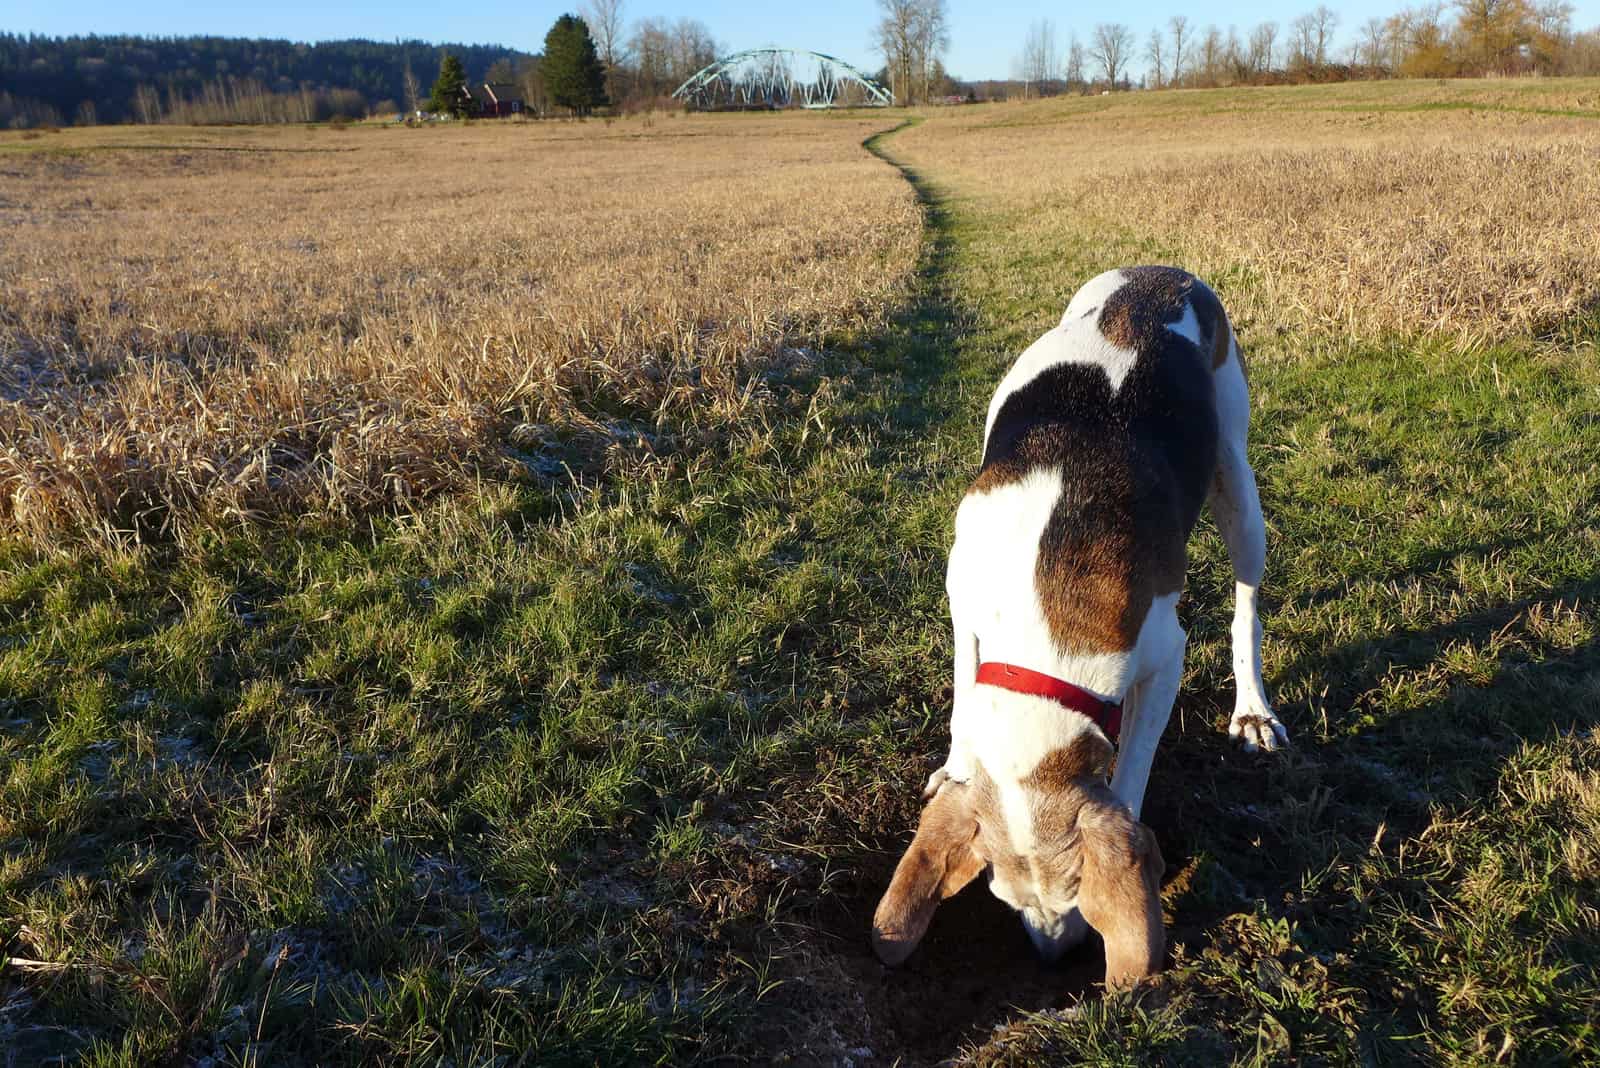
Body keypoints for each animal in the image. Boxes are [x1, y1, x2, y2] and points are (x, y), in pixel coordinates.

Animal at [876, 265, 1286, 984]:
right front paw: (955, 768)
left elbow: (1133, 767)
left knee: (1246, 608)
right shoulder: (961, 597)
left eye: (1078, 900)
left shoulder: (1164, 655)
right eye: (1001, 895)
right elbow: (962, 697)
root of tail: (1162, 273)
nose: (1053, 955)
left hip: (1237, 485)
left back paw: (1253, 710)